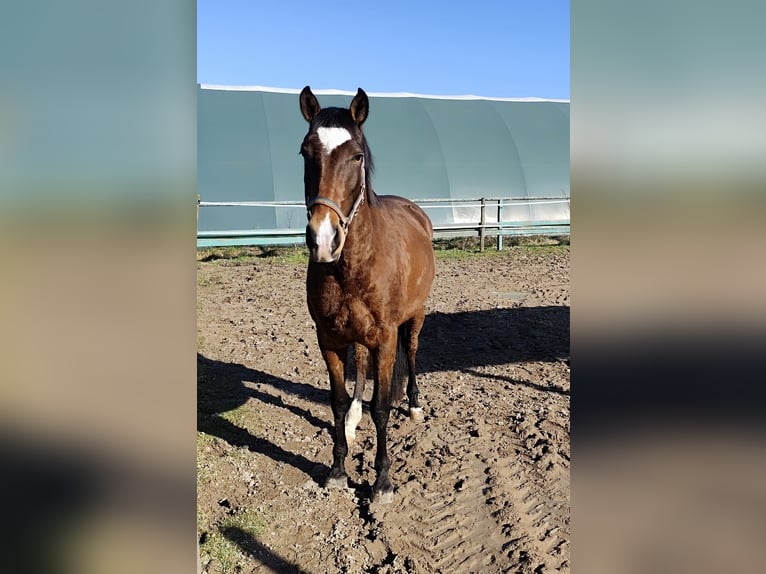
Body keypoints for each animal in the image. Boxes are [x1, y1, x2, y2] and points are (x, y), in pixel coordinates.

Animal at [299, 86, 436, 503]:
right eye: (305, 152)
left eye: (356, 156)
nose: (323, 239)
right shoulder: (328, 338)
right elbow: (338, 400)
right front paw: (338, 470)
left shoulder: (386, 339)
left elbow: (382, 406)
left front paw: (382, 481)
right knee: (358, 367)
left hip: (415, 317)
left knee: (412, 351)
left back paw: (415, 405)